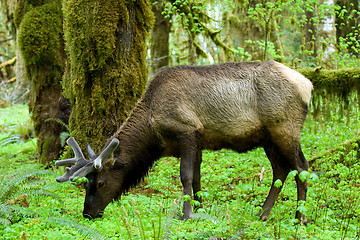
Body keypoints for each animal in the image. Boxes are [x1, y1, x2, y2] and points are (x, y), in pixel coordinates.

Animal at [55, 61, 312, 223]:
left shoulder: (187, 131)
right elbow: (197, 177)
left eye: (100, 183)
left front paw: (186, 213)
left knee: (302, 167)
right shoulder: (199, 141)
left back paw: (300, 217)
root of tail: (308, 85)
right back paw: (263, 214)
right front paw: (200, 209)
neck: (152, 130)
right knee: (281, 170)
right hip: (268, 138)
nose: (88, 212)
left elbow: (186, 175)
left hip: (285, 128)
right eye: (86, 183)